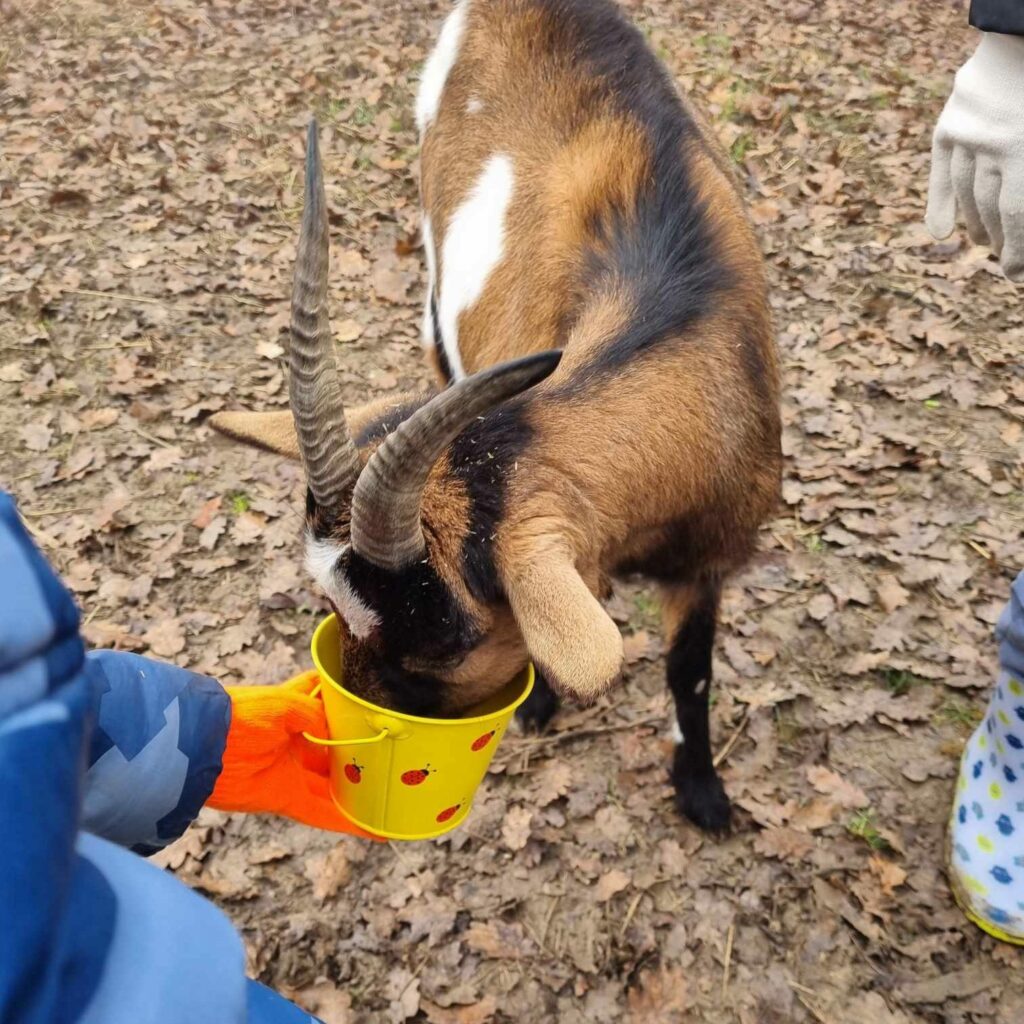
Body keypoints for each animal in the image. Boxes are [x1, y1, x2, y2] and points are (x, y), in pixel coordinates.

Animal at [211, 0, 778, 831]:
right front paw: (541, 703)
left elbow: (691, 672)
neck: (677, 306)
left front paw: (703, 793)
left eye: (443, 642)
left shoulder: (709, 558)